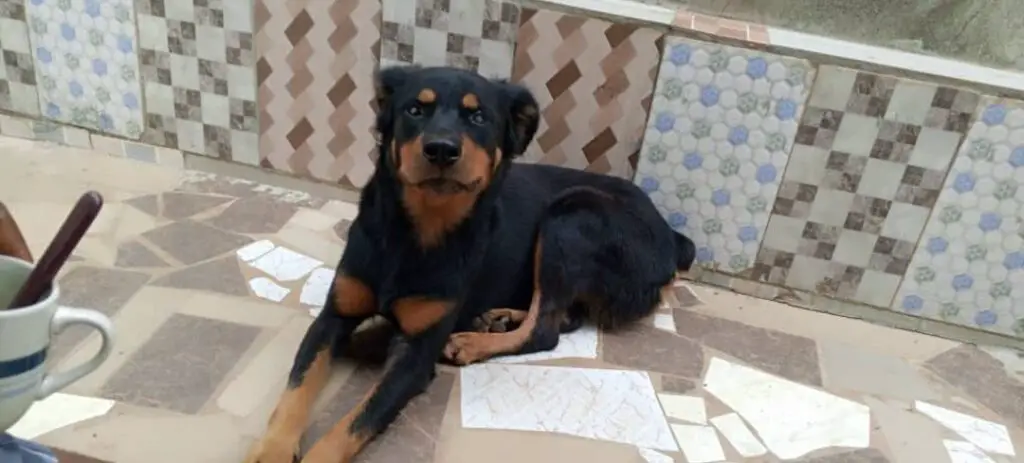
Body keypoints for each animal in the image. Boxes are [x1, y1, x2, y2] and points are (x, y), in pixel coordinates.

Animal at [243, 66, 700, 463]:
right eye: (414, 109)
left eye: (479, 117)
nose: (441, 149)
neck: (418, 230)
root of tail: (672, 238)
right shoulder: (332, 317)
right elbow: (295, 390)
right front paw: (271, 450)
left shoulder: (415, 357)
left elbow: (356, 422)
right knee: (563, 317)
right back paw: (495, 318)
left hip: (571, 214)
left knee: (546, 329)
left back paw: (470, 341)